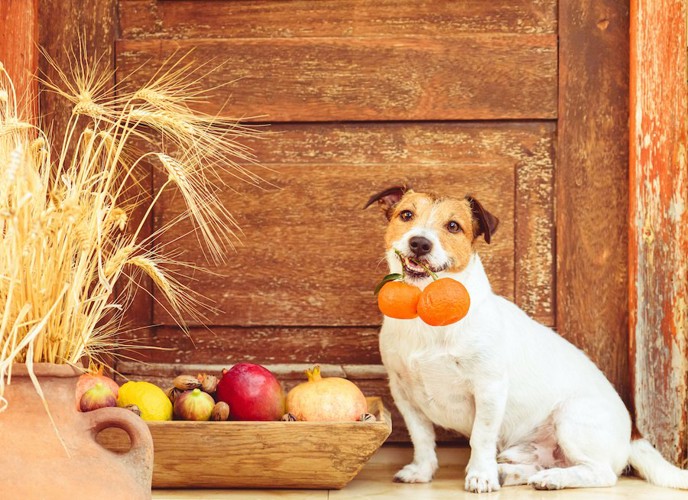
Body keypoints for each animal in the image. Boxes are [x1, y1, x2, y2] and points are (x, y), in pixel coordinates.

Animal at [366, 187, 688, 492]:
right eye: (406, 215)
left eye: (454, 226)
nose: (420, 242)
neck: (426, 312)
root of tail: (634, 433)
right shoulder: (403, 393)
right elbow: (421, 438)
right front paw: (422, 472)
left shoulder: (489, 388)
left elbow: (481, 438)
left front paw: (481, 476)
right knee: (543, 463)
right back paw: (516, 474)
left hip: (571, 419)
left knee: (602, 474)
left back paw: (552, 479)